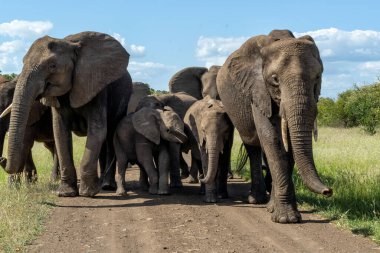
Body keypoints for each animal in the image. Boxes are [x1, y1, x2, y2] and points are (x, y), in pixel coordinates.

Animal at [2, 31, 132, 197]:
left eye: (52, 66)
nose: (2, 159)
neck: (69, 44)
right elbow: (60, 132)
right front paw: (66, 193)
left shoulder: (95, 85)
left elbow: (97, 131)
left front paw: (88, 192)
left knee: (110, 137)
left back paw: (107, 186)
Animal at [217, 30, 332, 223]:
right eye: (275, 80)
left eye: (317, 77)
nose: (327, 191)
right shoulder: (258, 90)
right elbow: (272, 139)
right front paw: (286, 219)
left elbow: (287, 145)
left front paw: (284, 213)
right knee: (253, 147)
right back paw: (256, 200)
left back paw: (269, 205)